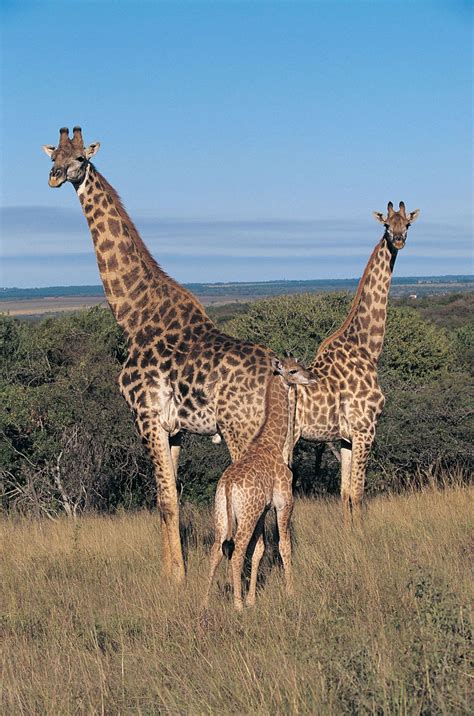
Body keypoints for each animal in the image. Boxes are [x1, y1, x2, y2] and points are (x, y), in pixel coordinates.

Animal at [42, 127, 279, 582]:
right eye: (53, 155)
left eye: (81, 158)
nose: (54, 176)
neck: (132, 315)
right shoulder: (175, 429)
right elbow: (170, 500)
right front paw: (174, 570)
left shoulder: (146, 417)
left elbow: (165, 501)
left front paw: (175, 578)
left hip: (241, 430)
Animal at [204, 357, 315, 611]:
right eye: (293, 371)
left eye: (300, 365)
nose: (312, 377)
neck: (272, 442)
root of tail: (228, 485)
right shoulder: (284, 504)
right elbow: (284, 546)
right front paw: (291, 592)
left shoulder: (263, 511)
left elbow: (259, 550)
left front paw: (253, 598)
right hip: (246, 515)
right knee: (236, 551)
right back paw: (237, 605)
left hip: (223, 514)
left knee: (216, 550)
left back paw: (202, 601)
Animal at [294, 202, 420, 522]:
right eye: (387, 225)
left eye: (407, 224)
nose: (398, 239)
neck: (367, 348)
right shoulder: (366, 429)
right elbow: (358, 493)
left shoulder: (346, 438)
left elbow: (345, 492)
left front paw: (349, 531)